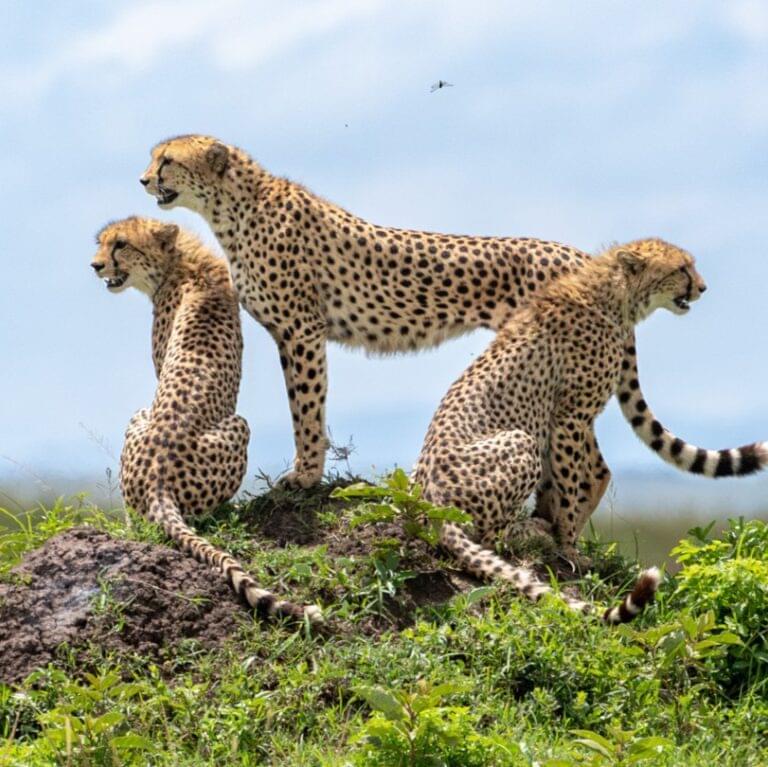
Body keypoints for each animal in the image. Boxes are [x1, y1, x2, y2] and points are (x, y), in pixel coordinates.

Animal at [91, 216, 321, 623]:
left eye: (120, 244)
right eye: (102, 243)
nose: (96, 265)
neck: (183, 263)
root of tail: (157, 482)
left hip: (225, 424)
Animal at [137, 135, 762, 489]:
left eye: (166, 160)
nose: (143, 178)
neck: (234, 207)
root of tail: (578, 255)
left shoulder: (302, 332)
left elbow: (307, 411)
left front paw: (305, 476)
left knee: (591, 462)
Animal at [412, 238, 768, 623]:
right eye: (681, 269)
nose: (702, 288)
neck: (614, 296)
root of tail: (431, 500)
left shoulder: (562, 420)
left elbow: (561, 483)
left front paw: (560, 531)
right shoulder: (571, 416)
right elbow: (570, 485)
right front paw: (569, 547)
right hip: (519, 443)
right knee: (489, 538)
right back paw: (527, 534)